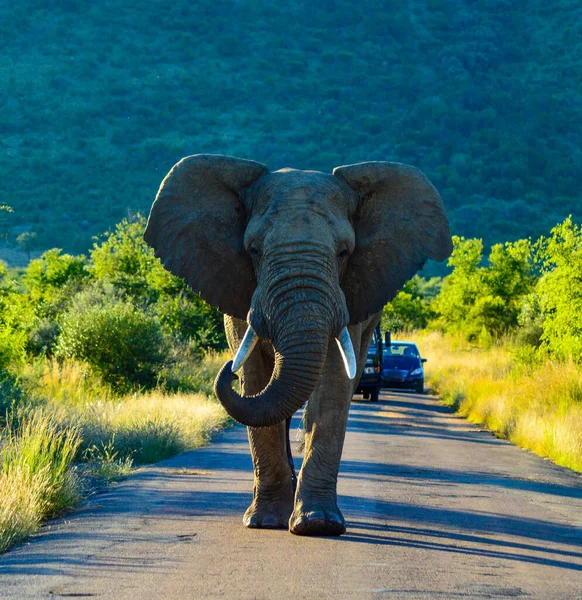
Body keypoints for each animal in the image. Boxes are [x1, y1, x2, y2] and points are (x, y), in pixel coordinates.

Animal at [144, 152, 454, 536]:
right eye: (253, 249)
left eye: (344, 252)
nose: (226, 371)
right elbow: (256, 378)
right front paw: (263, 522)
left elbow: (334, 382)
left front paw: (317, 524)